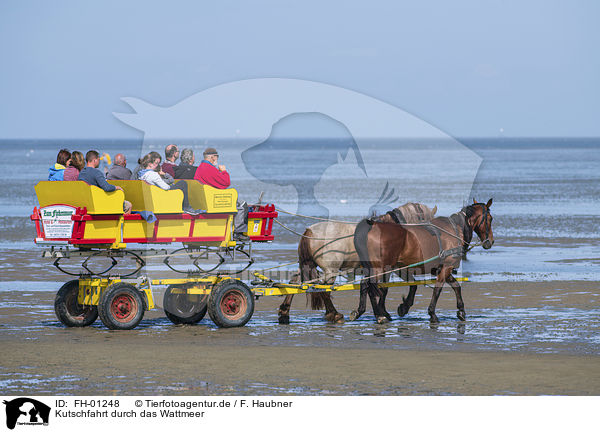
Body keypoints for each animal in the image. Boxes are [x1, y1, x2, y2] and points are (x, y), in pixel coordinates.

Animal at [276, 202, 436, 324]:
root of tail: (309, 231)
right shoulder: (392, 268)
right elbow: (386, 288)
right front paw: (387, 312)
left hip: (308, 265)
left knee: (296, 281)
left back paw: (285, 312)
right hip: (331, 271)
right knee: (324, 290)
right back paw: (334, 314)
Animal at [352, 197, 492, 322]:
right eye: (490, 218)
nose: (490, 241)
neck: (455, 229)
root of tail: (372, 226)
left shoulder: (438, 268)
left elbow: (455, 286)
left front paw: (461, 310)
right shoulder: (446, 267)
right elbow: (437, 289)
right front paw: (432, 313)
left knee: (365, 285)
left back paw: (364, 311)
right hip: (379, 268)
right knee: (370, 287)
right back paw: (378, 315)